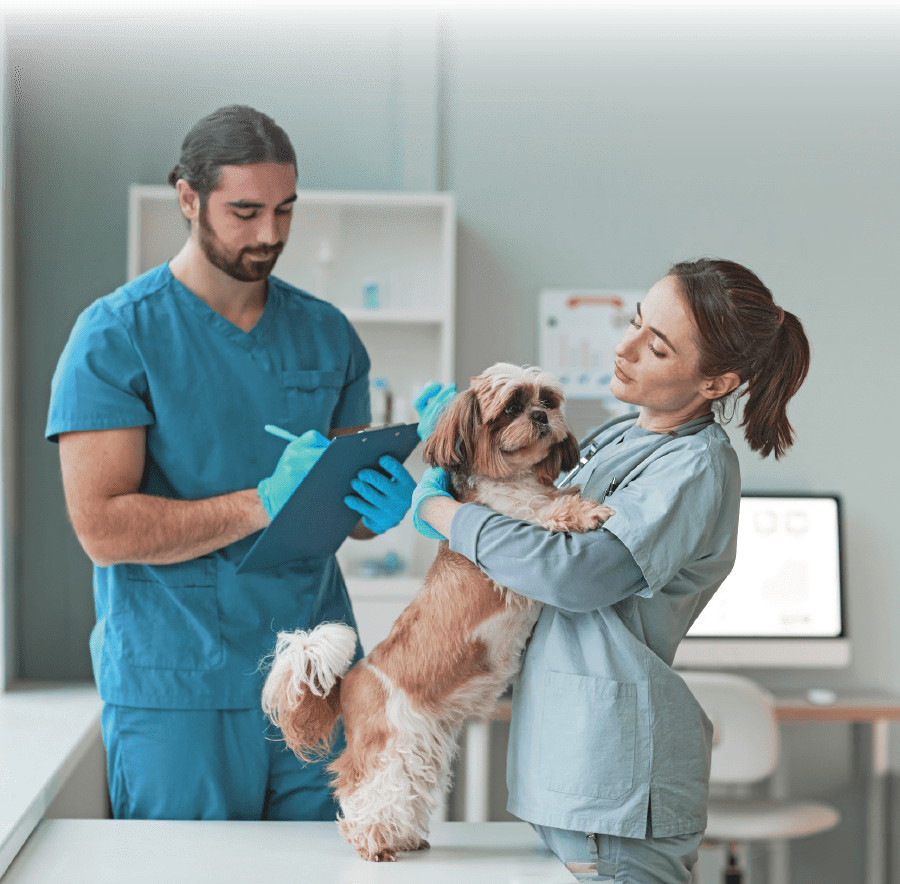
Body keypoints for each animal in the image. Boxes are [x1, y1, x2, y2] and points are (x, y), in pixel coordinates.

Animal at [260, 362, 612, 860]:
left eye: (547, 400)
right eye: (511, 408)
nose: (542, 417)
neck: (515, 480)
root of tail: (350, 681)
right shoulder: (508, 527)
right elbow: (541, 513)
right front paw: (581, 510)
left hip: (420, 748)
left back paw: (406, 837)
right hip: (389, 747)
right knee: (361, 788)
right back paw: (372, 842)